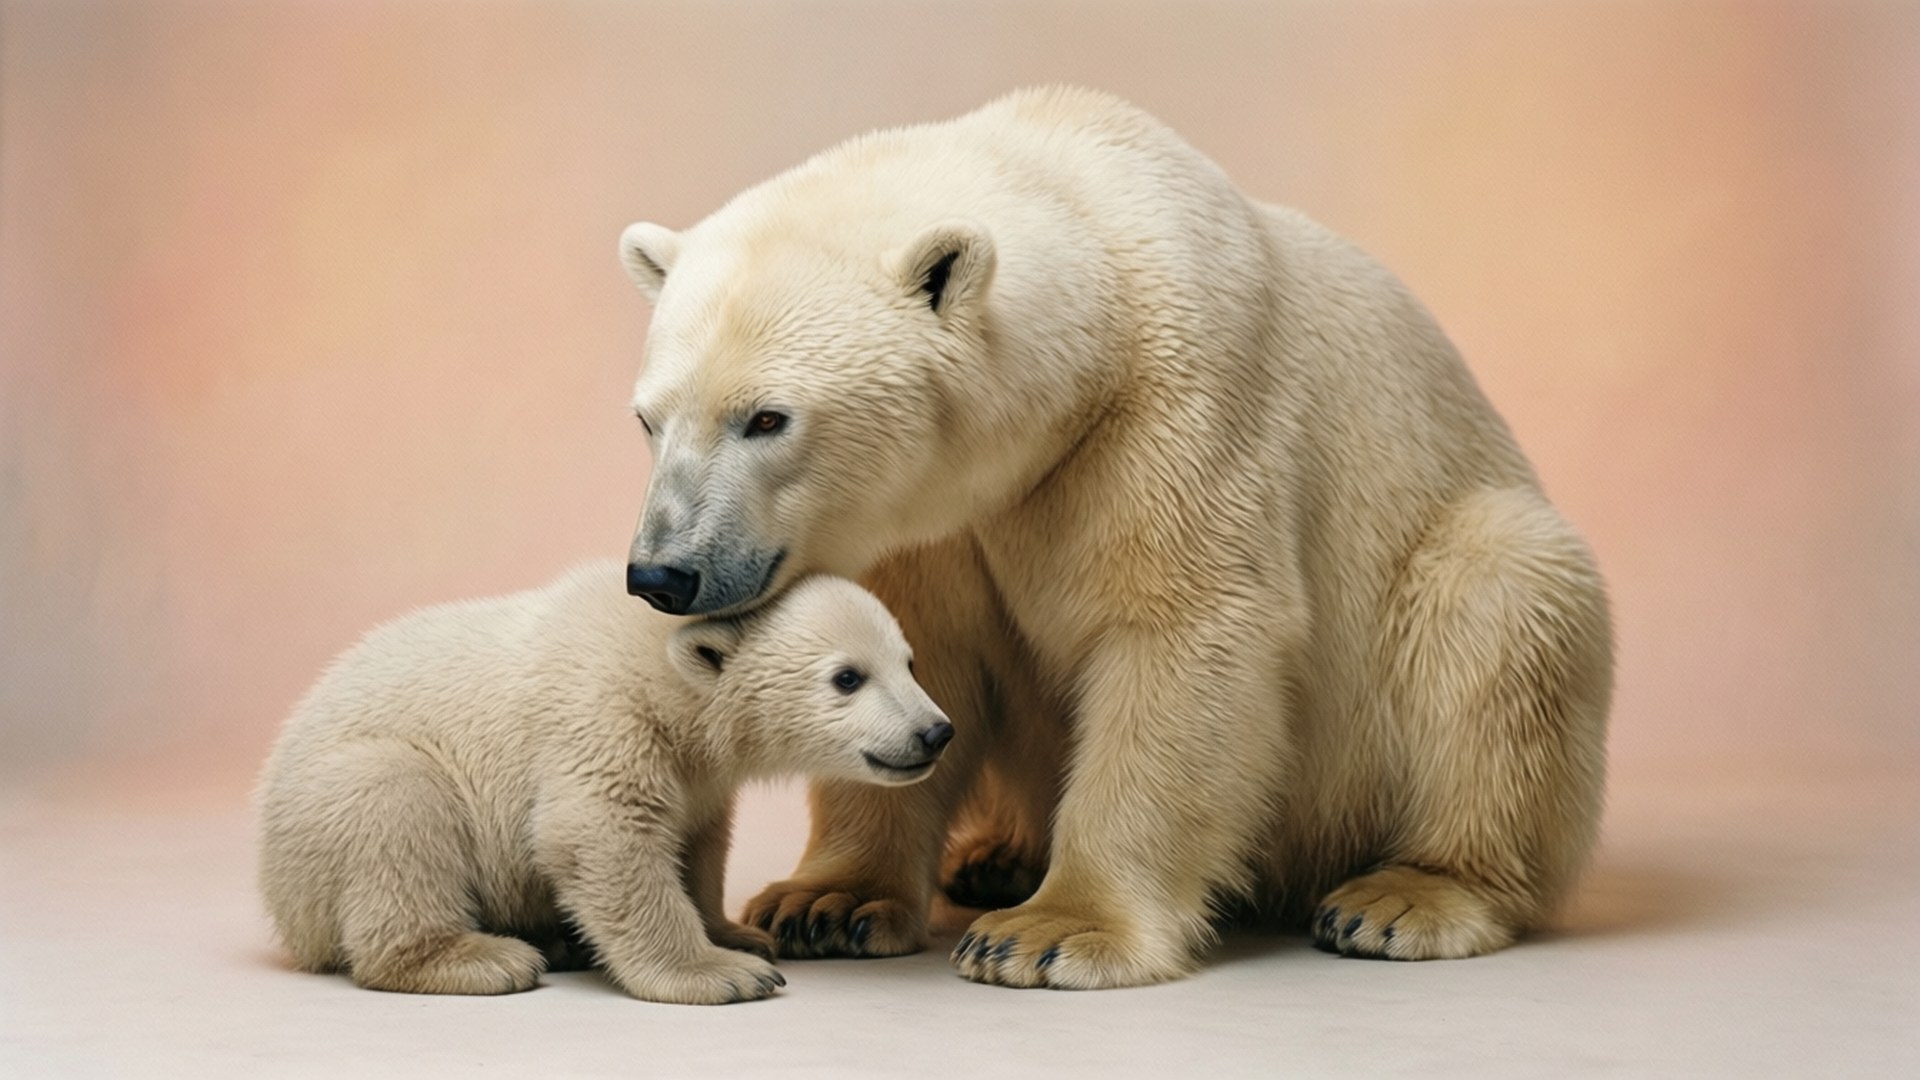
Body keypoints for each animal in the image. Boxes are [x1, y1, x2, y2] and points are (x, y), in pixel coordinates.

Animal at [255, 564, 952, 1004]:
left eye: (909, 662)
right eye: (847, 677)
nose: (935, 731)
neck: (667, 668)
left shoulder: (695, 768)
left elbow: (699, 842)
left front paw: (735, 933)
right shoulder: (602, 714)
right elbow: (601, 833)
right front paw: (724, 973)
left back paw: (553, 940)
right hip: (329, 807)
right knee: (395, 803)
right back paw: (483, 957)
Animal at [615, 86, 1613, 989]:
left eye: (767, 418)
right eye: (648, 419)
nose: (662, 573)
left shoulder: (1176, 407)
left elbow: (1183, 629)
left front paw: (1050, 933)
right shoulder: (929, 517)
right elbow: (912, 645)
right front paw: (827, 902)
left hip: (1459, 562)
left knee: (1500, 610)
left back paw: (1408, 896)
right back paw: (995, 857)